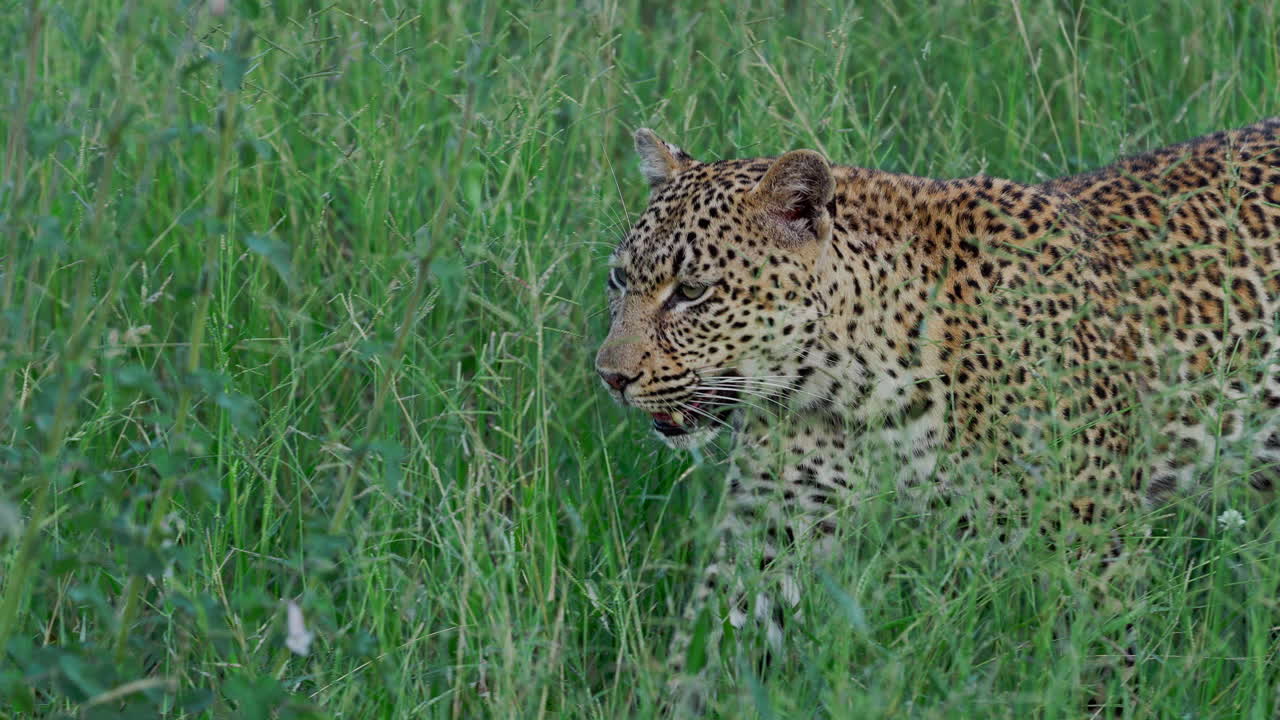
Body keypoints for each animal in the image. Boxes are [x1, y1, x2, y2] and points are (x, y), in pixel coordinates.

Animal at [595, 119, 1280, 711]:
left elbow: (1100, 662)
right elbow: (712, 640)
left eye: (692, 292)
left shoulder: (1089, 536)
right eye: (619, 280)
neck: (859, 389)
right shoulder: (771, 523)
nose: (610, 377)